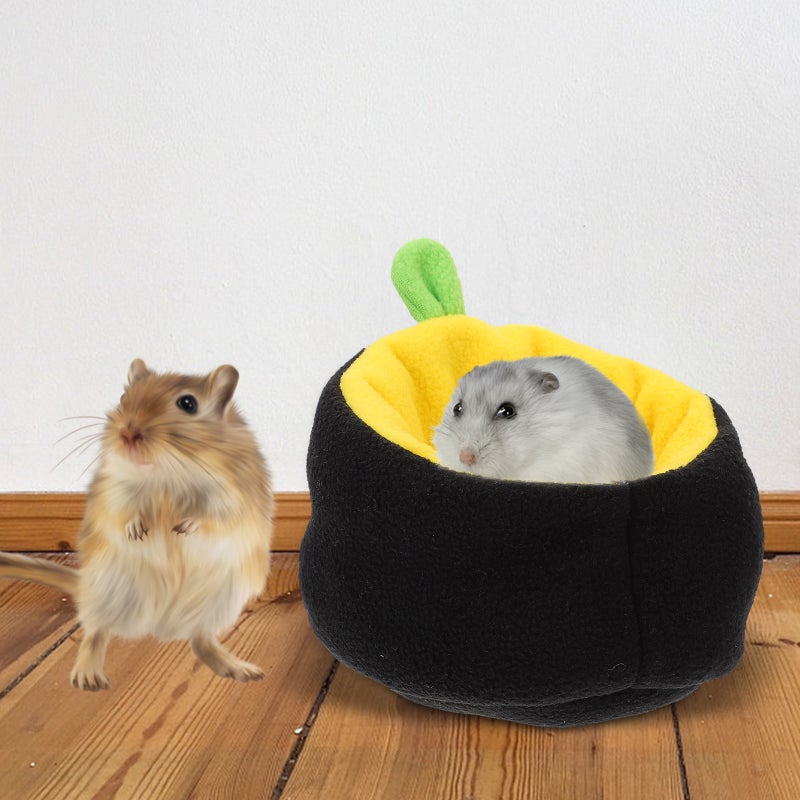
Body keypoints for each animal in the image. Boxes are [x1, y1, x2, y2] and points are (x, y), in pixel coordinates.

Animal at [0, 359, 273, 690]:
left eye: (188, 404)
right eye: (123, 398)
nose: (127, 432)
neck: (168, 472)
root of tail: (160, 624)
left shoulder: (235, 495)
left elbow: (215, 516)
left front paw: (184, 527)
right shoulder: (114, 489)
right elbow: (123, 512)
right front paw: (137, 531)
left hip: (219, 601)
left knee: (201, 641)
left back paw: (241, 669)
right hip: (109, 587)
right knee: (95, 631)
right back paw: (88, 676)